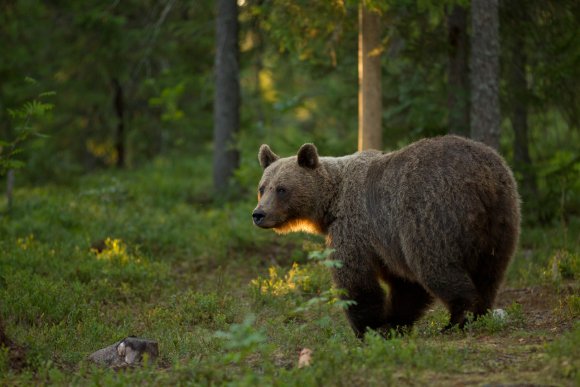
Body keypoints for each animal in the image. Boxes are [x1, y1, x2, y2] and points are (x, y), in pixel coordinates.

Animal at [254, 138, 520, 338]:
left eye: (282, 189)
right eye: (262, 187)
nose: (259, 214)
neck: (330, 205)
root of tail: (482, 177)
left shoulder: (355, 228)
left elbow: (356, 280)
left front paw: (368, 328)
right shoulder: (387, 243)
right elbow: (406, 285)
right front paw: (393, 324)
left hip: (431, 214)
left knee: (436, 266)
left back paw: (457, 319)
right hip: (502, 218)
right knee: (491, 272)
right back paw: (480, 313)